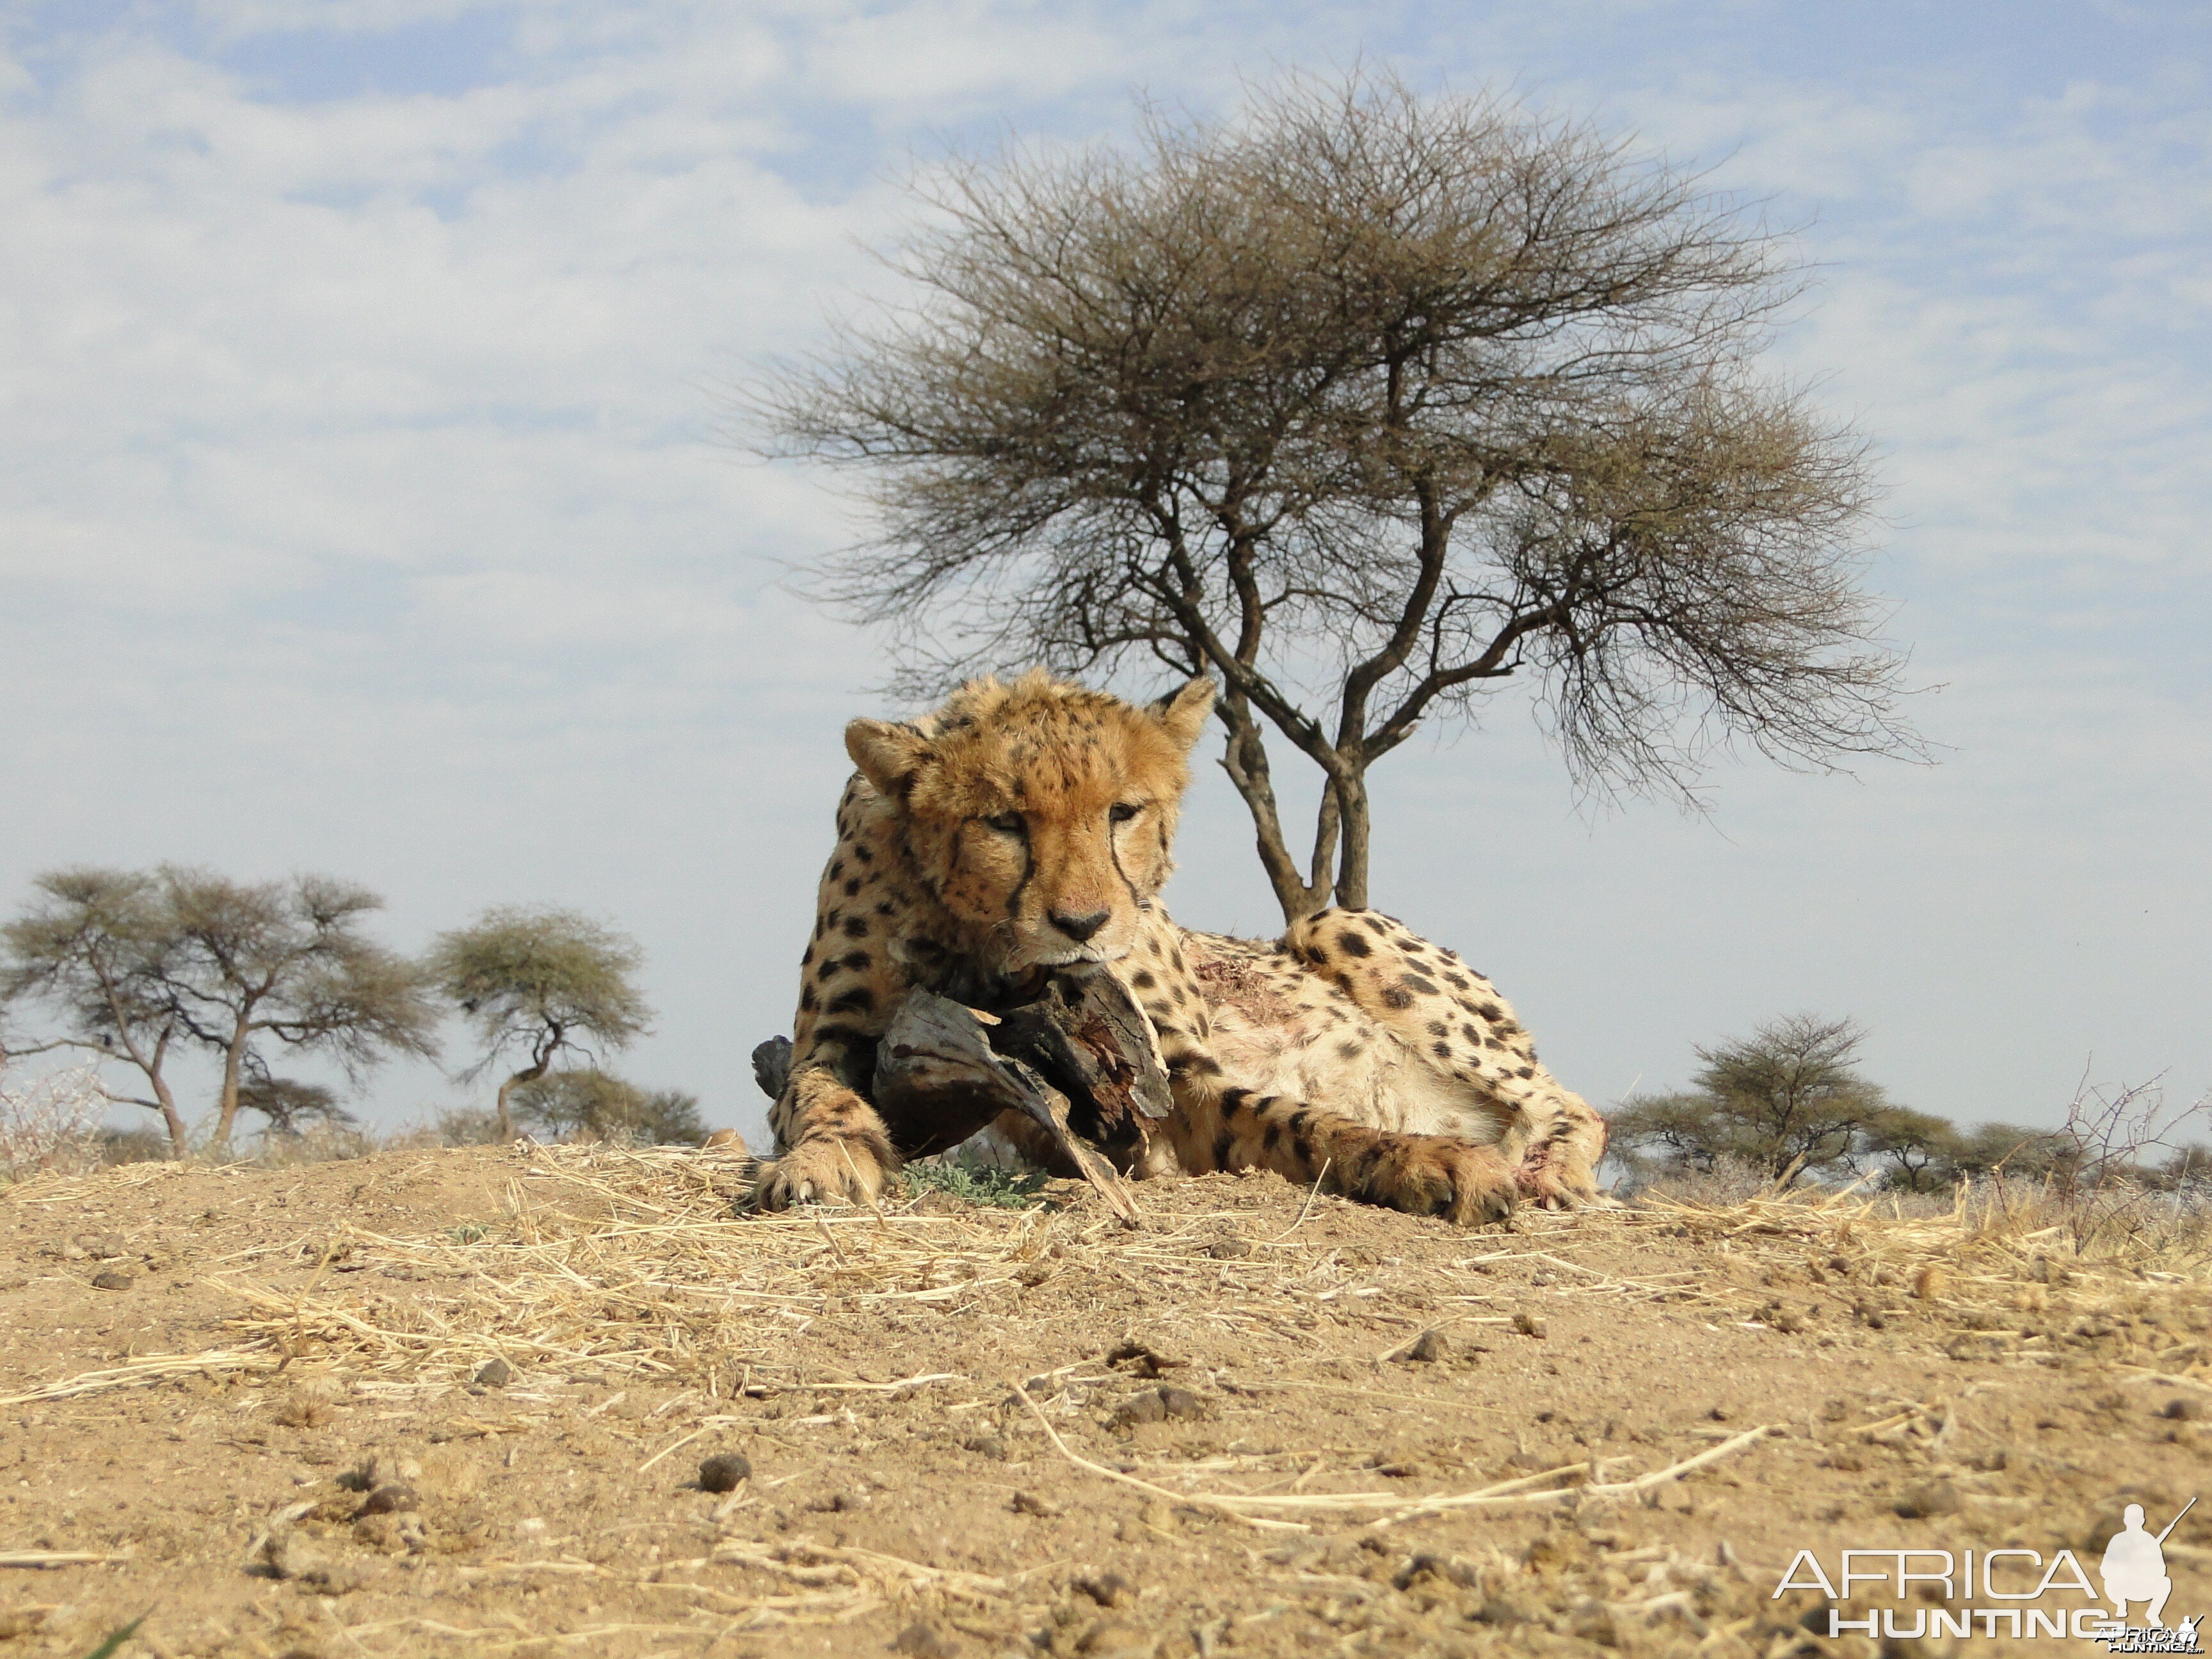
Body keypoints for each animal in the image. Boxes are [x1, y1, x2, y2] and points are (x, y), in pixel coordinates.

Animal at [756, 668, 1610, 1230]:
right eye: (1003, 822)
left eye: (1123, 812)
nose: (1083, 923)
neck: (988, 945)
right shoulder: (838, 1039)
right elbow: (816, 1097)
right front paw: (821, 1162)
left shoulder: (1180, 1076)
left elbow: (1305, 1121)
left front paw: (1433, 1160)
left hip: (1331, 927)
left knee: (1568, 1101)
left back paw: (1549, 1174)